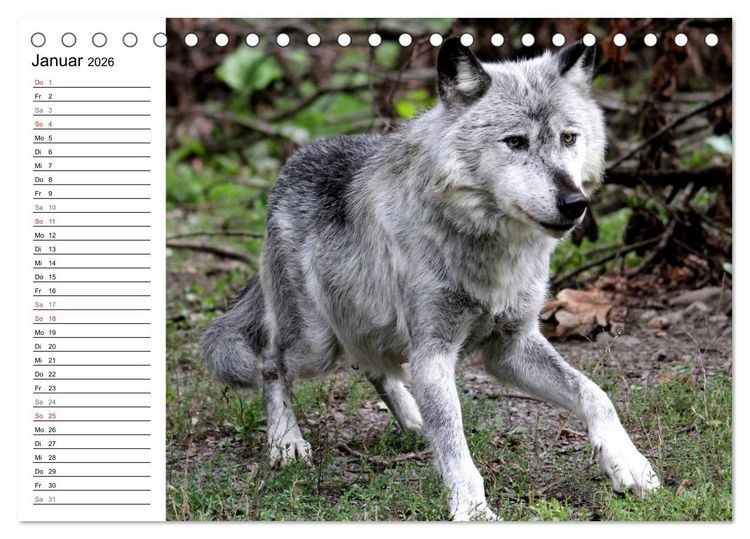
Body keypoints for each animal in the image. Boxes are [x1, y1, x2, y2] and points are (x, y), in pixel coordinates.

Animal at [202, 38, 660, 520]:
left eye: (568, 138)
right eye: (515, 142)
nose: (575, 203)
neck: (490, 250)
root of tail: (291, 165)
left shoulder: (510, 347)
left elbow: (596, 394)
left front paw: (629, 464)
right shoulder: (434, 352)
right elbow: (454, 439)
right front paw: (472, 510)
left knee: (374, 368)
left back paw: (412, 417)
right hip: (314, 344)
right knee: (270, 361)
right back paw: (286, 442)